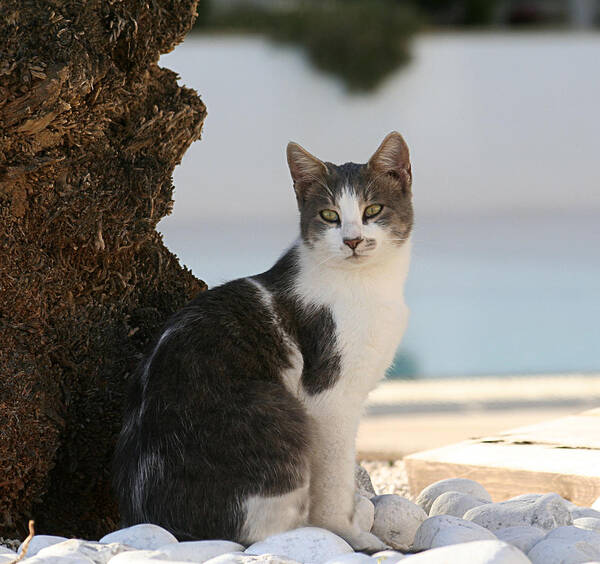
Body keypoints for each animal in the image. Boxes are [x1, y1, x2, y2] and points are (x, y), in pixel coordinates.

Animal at [112, 131, 412, 552]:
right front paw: (347, 535)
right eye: (329, 216)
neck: (367, 285)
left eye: (373, 210)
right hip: (280, 414)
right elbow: (333, 481)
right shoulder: (328, 398)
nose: (352, 240)